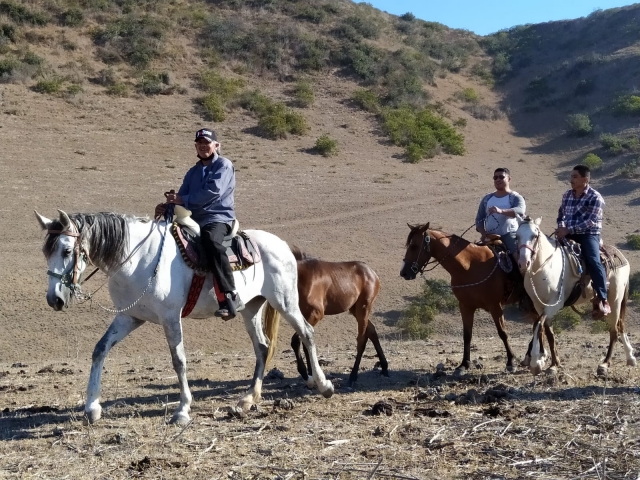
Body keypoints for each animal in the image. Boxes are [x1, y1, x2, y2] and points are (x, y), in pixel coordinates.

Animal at [35, 210, 334, 425]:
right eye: (45, 251)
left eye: (67, 250)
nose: (54, 299)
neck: (137, 259)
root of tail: (282, 245)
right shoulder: (129, 318)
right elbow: (99, 350)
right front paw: (92, 407)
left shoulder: (170, 318)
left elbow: (178, 361)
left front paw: (182, 411)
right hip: (251, 308)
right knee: (262, 347)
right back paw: (248, 399)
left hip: (285, 302)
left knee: (306, 333)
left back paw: (323, 385)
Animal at [283, 246, 387, 387]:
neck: (302, 277)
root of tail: (372, 273)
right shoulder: (303, 314)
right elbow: (305, 342)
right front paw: (312, 375)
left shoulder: (316, 313)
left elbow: (297, 340)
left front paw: (306, 375)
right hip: (354, 309)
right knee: (371, 331)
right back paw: (384, 368)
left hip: (363, 308)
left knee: (361, 340)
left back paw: (353, 377)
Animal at [400, 222, 533, 374]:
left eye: (414, 246)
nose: (404, 272)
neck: (469, 266)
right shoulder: (465, 306)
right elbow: (467, 335)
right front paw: (464, 364)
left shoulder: (495, 306)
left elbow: (502, 333)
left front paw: (510, 362)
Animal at [516, 216, 635, 376]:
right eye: (516, 236)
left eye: (534, 236)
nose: (524, 262)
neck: (545, 268)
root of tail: (621, 256)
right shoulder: (539, 305)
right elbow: (547, 331)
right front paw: (553, 364)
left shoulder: (554, 304)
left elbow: (539, 326)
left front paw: (536, 362)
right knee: (621, 326)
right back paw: (630, 357)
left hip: (615, 299)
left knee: (614, 331)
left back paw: (605, 364)